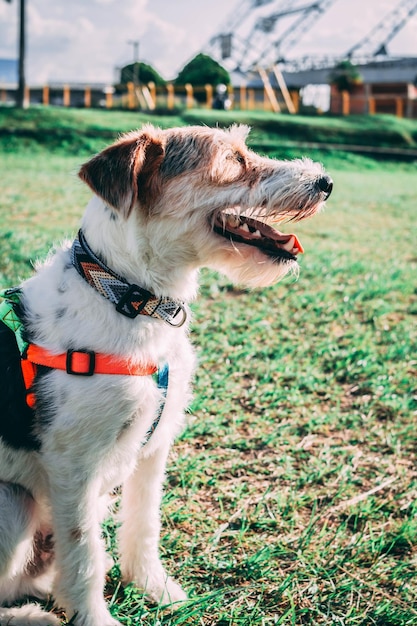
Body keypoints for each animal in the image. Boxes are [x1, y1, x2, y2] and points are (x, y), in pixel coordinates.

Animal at [0, 123, 332, 624]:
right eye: (233, 160)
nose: (325, 182)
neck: (127, 294)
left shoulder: (153, 446)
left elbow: (143, 525)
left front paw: (154, 587)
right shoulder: (74, 466)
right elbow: (84, 552)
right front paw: (94, 617)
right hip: (12, 501)